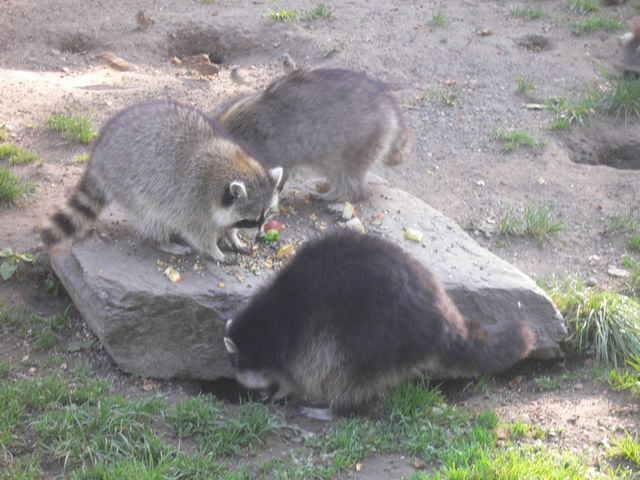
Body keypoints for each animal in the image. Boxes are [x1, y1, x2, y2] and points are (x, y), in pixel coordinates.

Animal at [42, 99, 282, 262]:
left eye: (267, 214)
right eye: (250, 220)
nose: (261, 235)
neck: (233, 165)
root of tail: (99, 151)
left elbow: (224, 224)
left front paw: (233, 237)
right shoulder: (191, 198)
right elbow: (197, 231)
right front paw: (214, 250)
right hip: (127, 184)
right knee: (152, 216)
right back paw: (161, 242)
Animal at [225, 231, 536, 418]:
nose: (259, 397)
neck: (262, 325)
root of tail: (440, 317)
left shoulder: (295, 334)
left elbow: (303, 369)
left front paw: (285, 389)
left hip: (372, 335)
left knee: (347, 372)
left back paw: (337, 408)